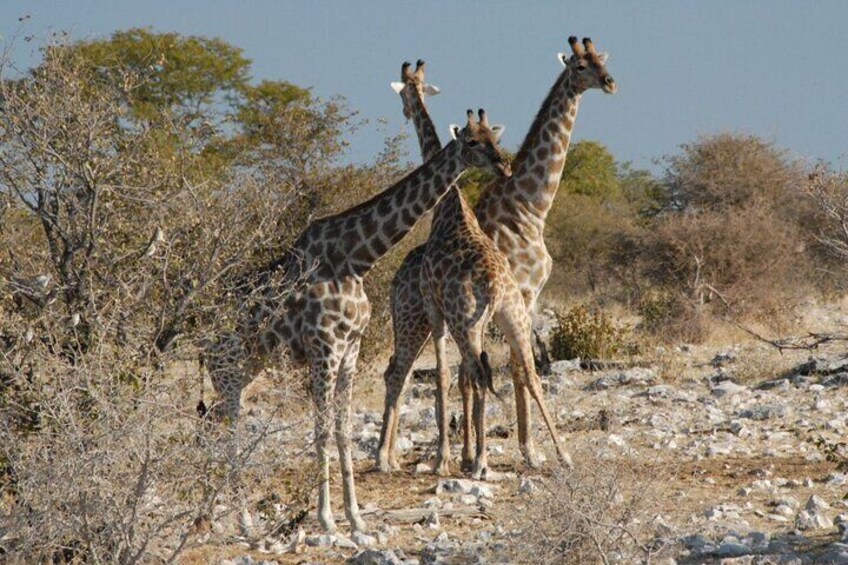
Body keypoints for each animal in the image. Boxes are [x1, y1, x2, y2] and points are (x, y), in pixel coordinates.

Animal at [204, 79, 511, 534]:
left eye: (495, 138)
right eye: (473, 142)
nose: (505, 166)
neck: (356, 259)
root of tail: (201, 326)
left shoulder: (349, 350)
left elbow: (344, 432)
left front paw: (355, 518)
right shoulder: (324, 351)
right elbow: (321, 433)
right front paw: (328, 519)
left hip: (245, 367)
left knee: (213, 421)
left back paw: (210, 514)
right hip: (227, 365)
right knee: (230, 429)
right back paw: (241, 520)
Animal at [377, 36, 616, 473]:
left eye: (599, 61)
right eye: (579, 66)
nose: (610, 82)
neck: (530, 205)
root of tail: (396, 276)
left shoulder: (526, 298)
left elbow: (506, 371)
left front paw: (514, 450)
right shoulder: (522, 295)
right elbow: (499, 372)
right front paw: (516, 449)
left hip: (433, 322)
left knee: (405, 372)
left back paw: (394, 455)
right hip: (415, 319)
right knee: (400, 371)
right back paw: (388, 456)